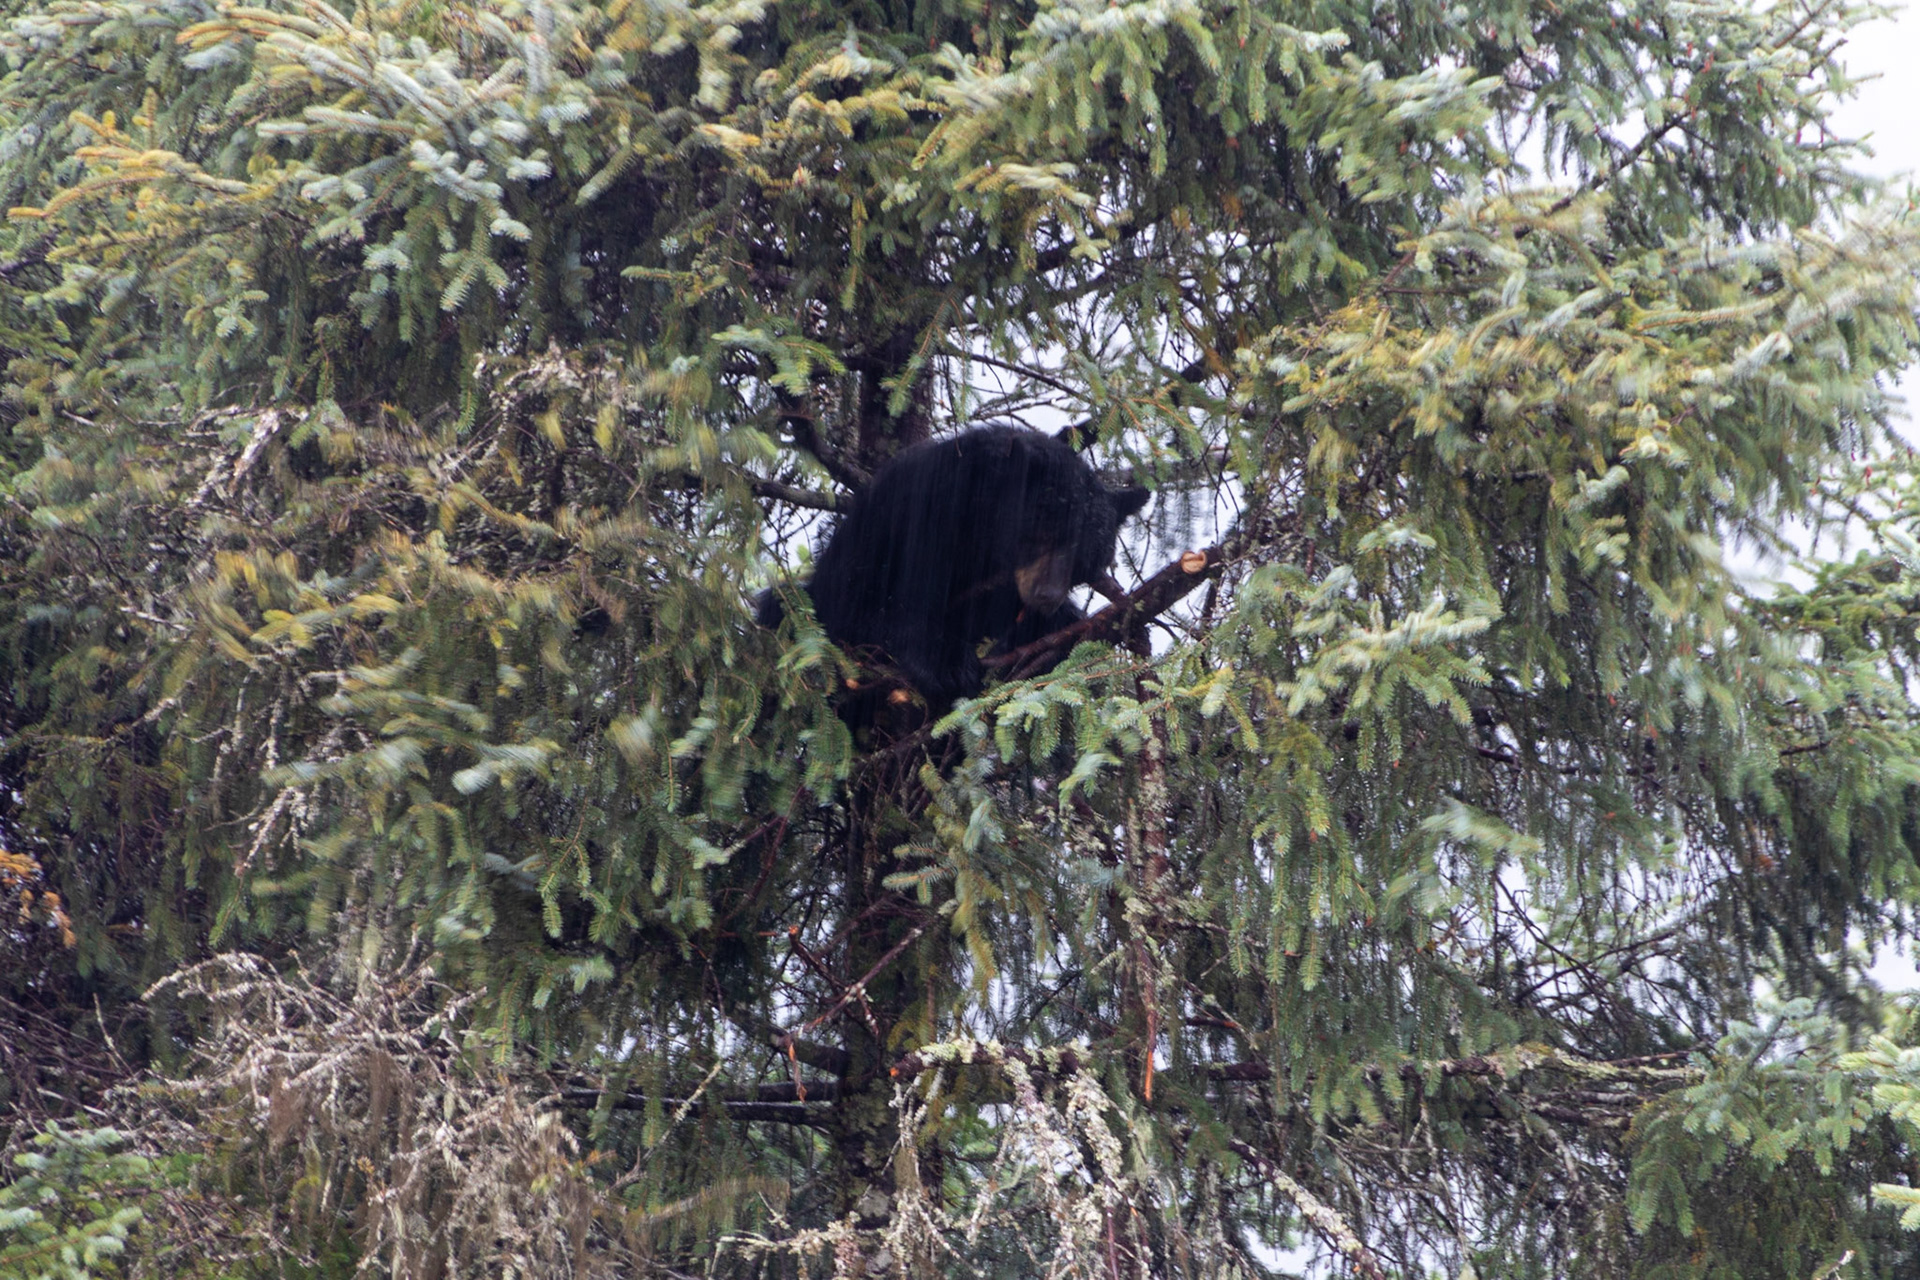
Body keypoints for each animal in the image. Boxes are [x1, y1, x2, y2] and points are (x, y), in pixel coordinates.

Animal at [761, 426, 1150, 706]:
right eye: (1043, 536)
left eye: (1084, 560)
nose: (1047, 596)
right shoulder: (918, 517)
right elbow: (875, 605)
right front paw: (945, 663)